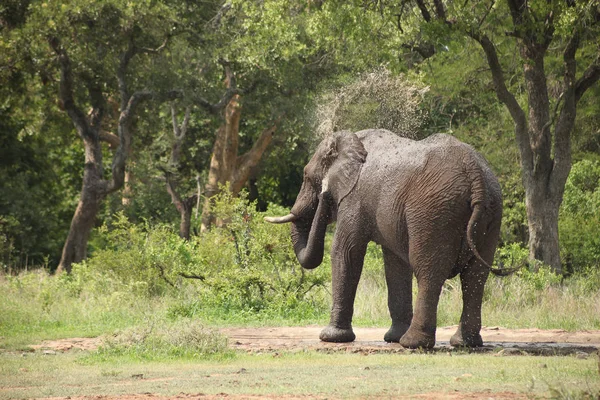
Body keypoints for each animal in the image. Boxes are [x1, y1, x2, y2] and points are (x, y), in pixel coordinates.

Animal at [264, 130, 504, 348]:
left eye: (306, 176)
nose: (324, 194)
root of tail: (474, 173)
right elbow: (395, 264)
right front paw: (392, 338)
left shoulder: (355, 198)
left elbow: (345, 252)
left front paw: (330, 338)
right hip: (490, 211)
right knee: (475, 276)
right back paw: (465, 343)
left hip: (434, 212)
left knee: (429, 272)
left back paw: (412, 343)